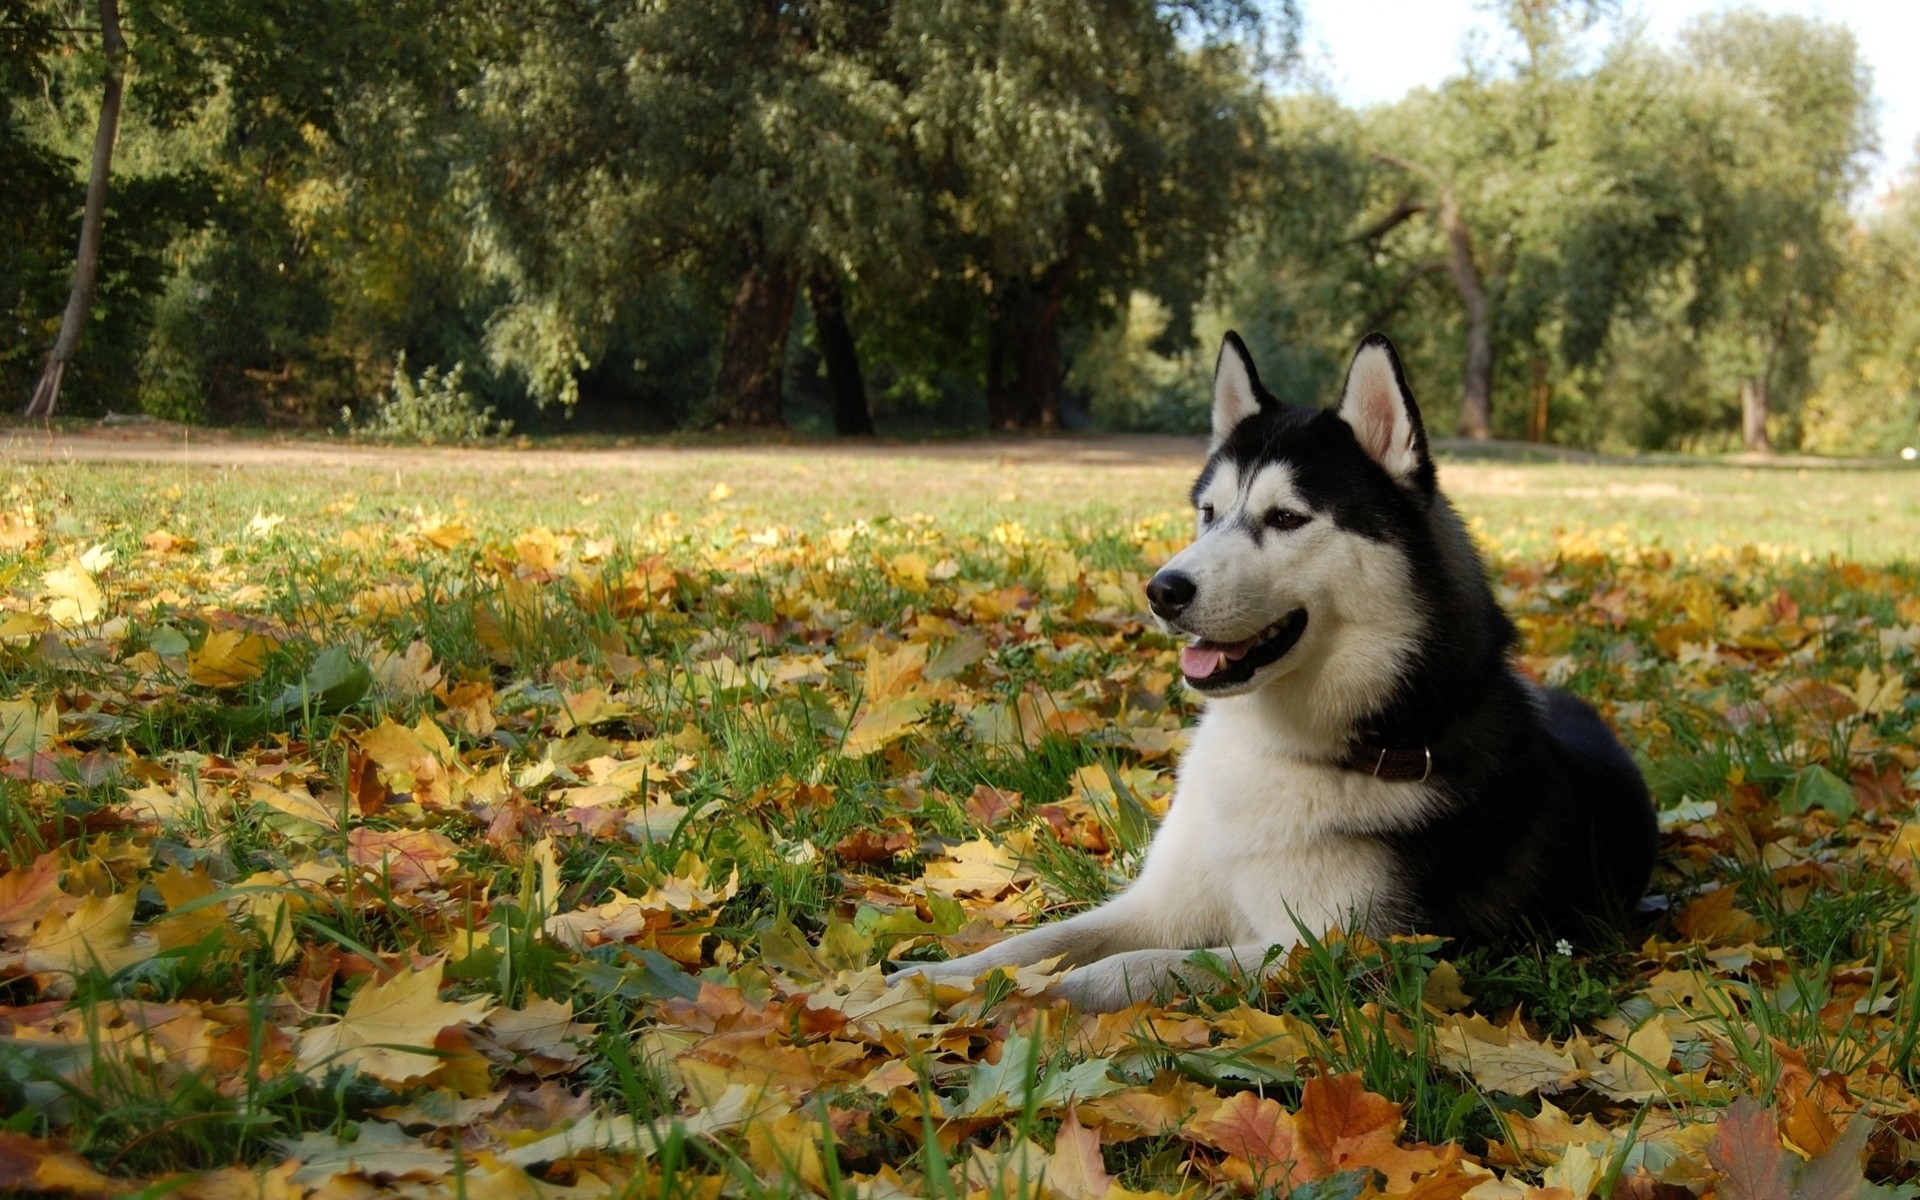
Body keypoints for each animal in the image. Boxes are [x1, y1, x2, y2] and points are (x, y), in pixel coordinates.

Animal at [890, 330, 1658, 1013]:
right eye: (1207, 513)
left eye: (1286, 518)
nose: (1161, 590)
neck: (1285, 748)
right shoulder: (1164, 901)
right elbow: (1036, 942)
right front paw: (935, 978)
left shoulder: (1341, 947)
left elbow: (1150, 965)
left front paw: (1055, 993)